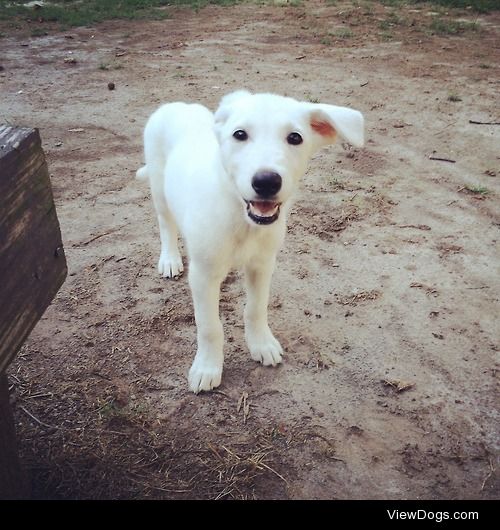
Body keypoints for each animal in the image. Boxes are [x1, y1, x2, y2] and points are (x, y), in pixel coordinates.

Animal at [137, 89, 364, 392]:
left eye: (295, 137)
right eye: (240, 134)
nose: (267, 181)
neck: (241, 219)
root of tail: (176, 106)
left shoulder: (262, 265)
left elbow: (255, 309)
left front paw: (261, 344)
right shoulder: (203, 275)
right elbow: (209, 327)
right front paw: (207, 368)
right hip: (159, 187)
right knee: (165, 223)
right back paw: (170, 259)